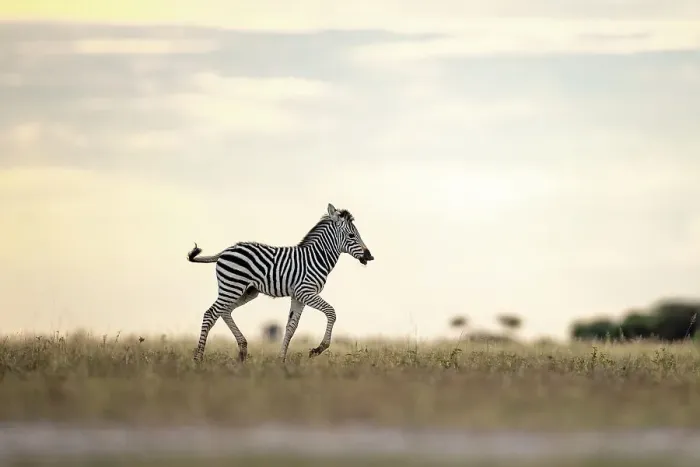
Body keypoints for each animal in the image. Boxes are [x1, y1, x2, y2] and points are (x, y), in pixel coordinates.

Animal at [186, 203, 374, 362]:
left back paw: (242, 351)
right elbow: (331, 312)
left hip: (246, 291)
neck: (316, 257)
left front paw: (281, 359)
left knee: (224, 311)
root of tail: (224, 251)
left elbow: (291, 327)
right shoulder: (305, 292)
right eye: (351, 235)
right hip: (232, 286)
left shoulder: (298, 296)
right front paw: (318, 349)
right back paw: (198, 359)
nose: (370, 256)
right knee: (210, 314)